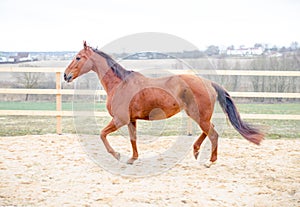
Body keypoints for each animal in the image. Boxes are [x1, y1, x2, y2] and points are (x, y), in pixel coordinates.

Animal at [63, 41, 262, 167]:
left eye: (78, 57)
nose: (66, 76)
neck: (120, 84)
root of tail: (209, 83)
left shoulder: (120, 119)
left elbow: (102, 134)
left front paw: (117, 155)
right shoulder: (131, 120)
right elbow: (133, 139)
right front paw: (132, 159)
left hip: (198, 116)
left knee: (213, 134)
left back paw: (209, 161)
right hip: (198, 116)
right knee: (209, 131)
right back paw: (196, 151)